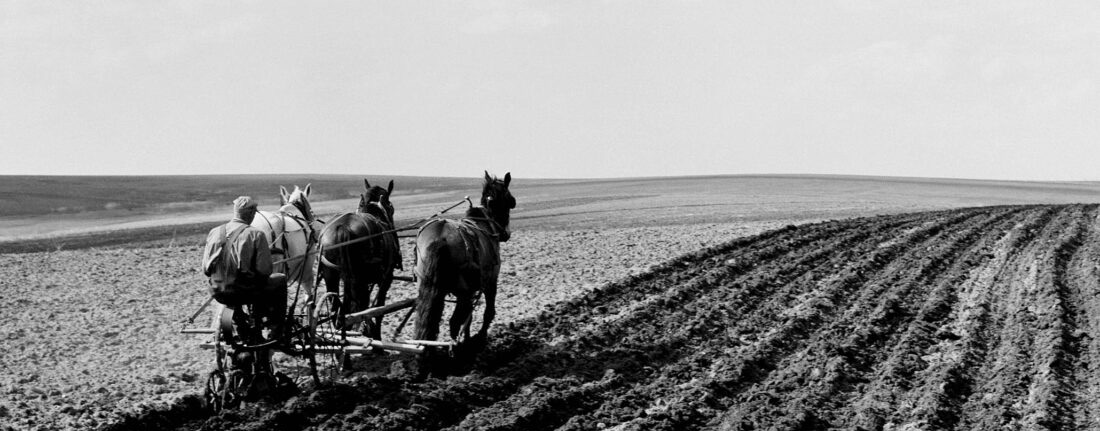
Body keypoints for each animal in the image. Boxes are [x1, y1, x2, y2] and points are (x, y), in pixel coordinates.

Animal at [317, 179, 401, 339]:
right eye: (391, 207)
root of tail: (343, 227)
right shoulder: (385, 279)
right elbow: (377, 310)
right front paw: (374, 334)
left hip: (331, 274)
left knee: (338, 309)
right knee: (354, 309)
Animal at [413, 171, 516, 360]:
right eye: (511, 201)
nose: (506, 234)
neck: (485, 223)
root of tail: (440, 238)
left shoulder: (471, 291)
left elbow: (468, 318)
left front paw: (468, 339)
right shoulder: (490, 282)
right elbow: (487, 312)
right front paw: (479, 339)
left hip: (431, 287)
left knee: (432, 319)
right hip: (463, 292)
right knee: (454, 322)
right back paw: (458, 350)